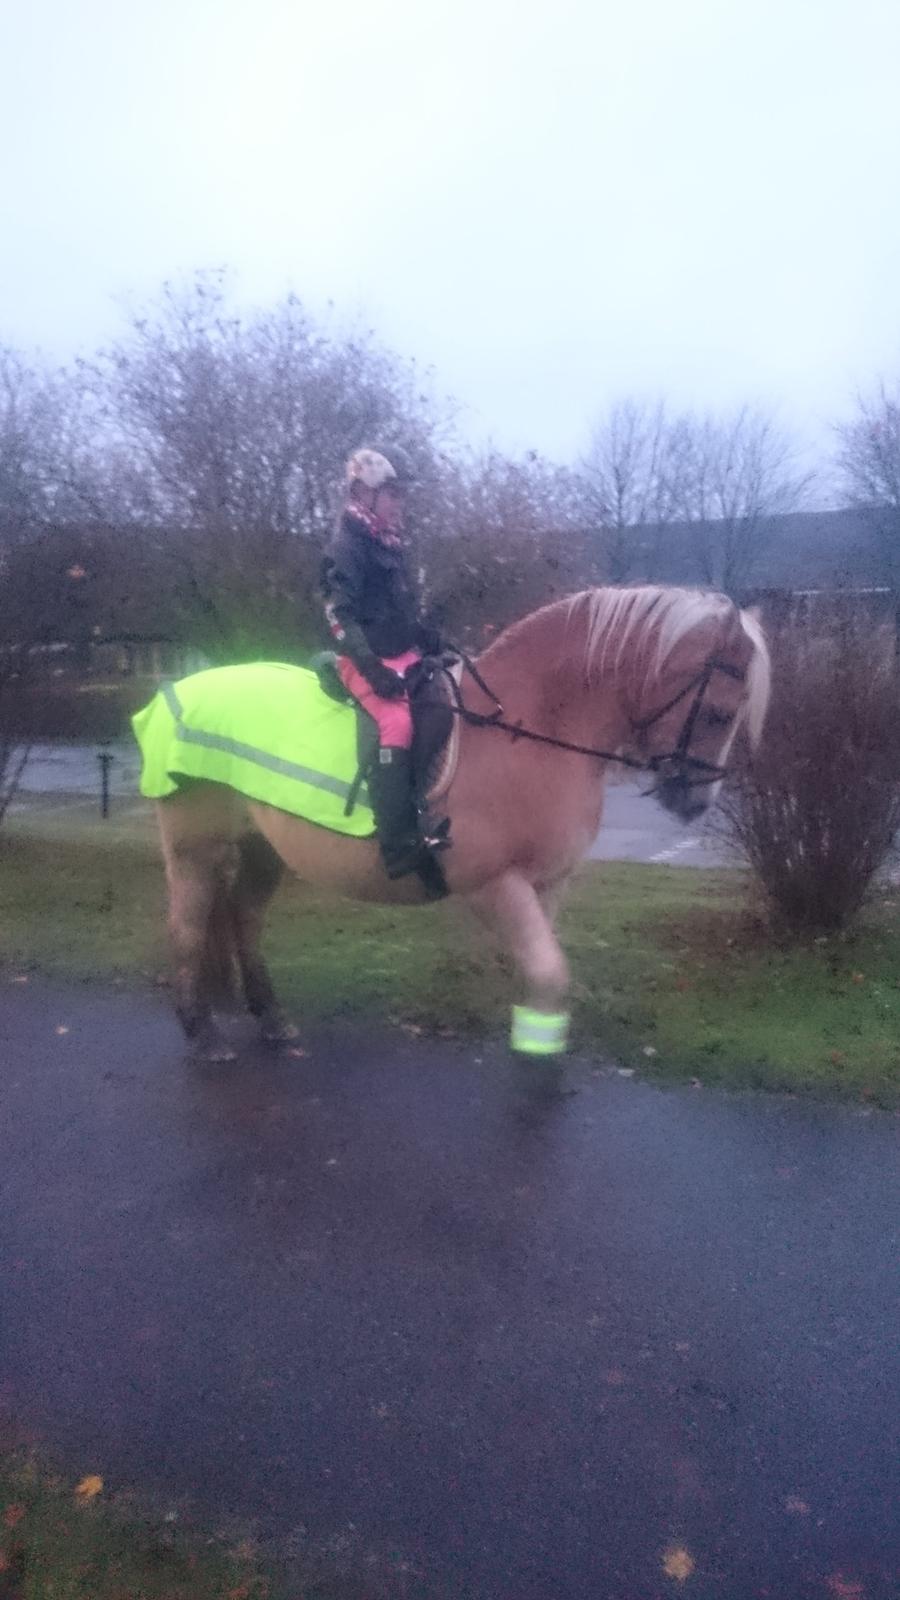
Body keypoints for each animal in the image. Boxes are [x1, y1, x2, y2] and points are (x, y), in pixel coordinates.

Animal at [143, 588, 768, 1062]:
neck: (528, 729)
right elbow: (549, 972)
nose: (697, 801)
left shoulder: (548, 884)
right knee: (187, 926)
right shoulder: (494, 885)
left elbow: (544, 972)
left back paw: (272, 1020)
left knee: (244, 917)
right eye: (719, 713)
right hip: (196, 845)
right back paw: (204, 1034)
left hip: (262, 847)